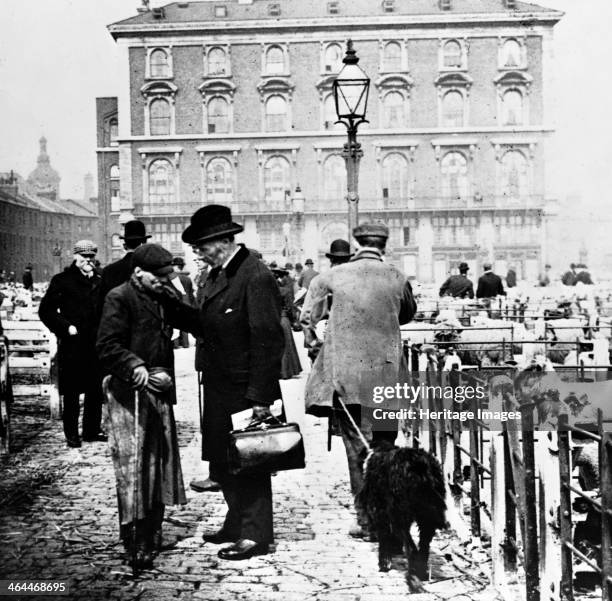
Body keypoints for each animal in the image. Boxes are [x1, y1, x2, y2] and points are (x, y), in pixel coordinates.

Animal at [356, 440, 448, 592]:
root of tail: (420, 466)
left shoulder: (379, 511)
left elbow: (384, 538)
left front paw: (384, 563)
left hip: (398, 514)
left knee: (411, 548)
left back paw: (413, 579)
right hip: (427, 518)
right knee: (423, 548)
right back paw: (421, 573)